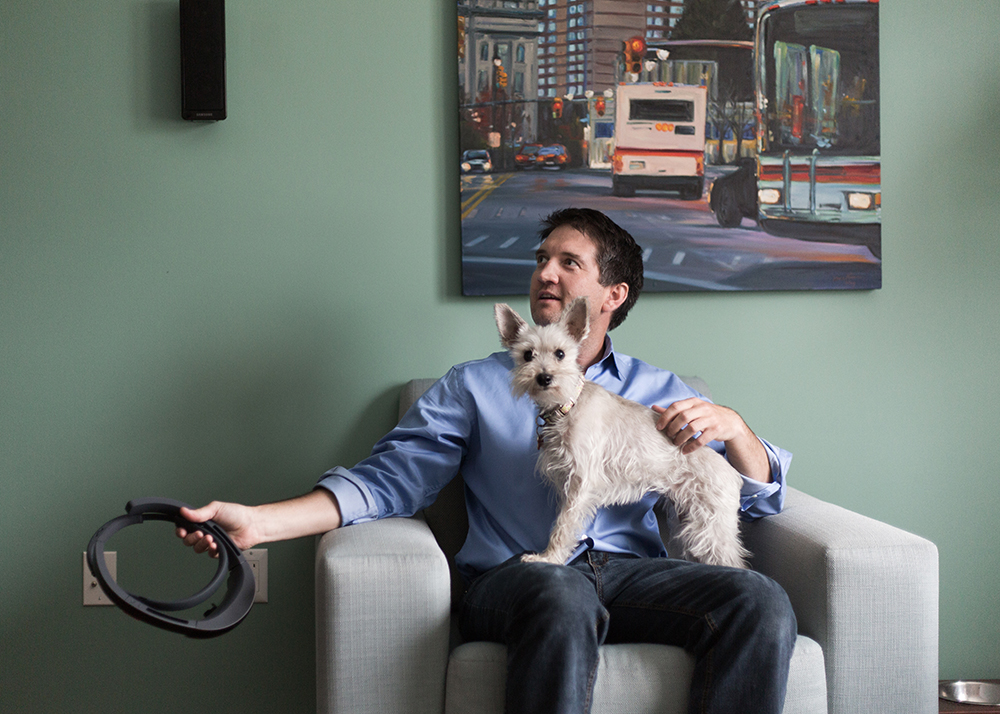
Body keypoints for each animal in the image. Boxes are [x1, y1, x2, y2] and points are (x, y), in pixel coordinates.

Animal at [496, 296, 748, 568]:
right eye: (527, 355)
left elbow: (563, 526)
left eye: (560, 354)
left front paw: (549, 558)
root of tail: (734, 475)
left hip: (709, 529)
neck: (568, 405)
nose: (544, 378)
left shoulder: (580, 482)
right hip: (689, 524)